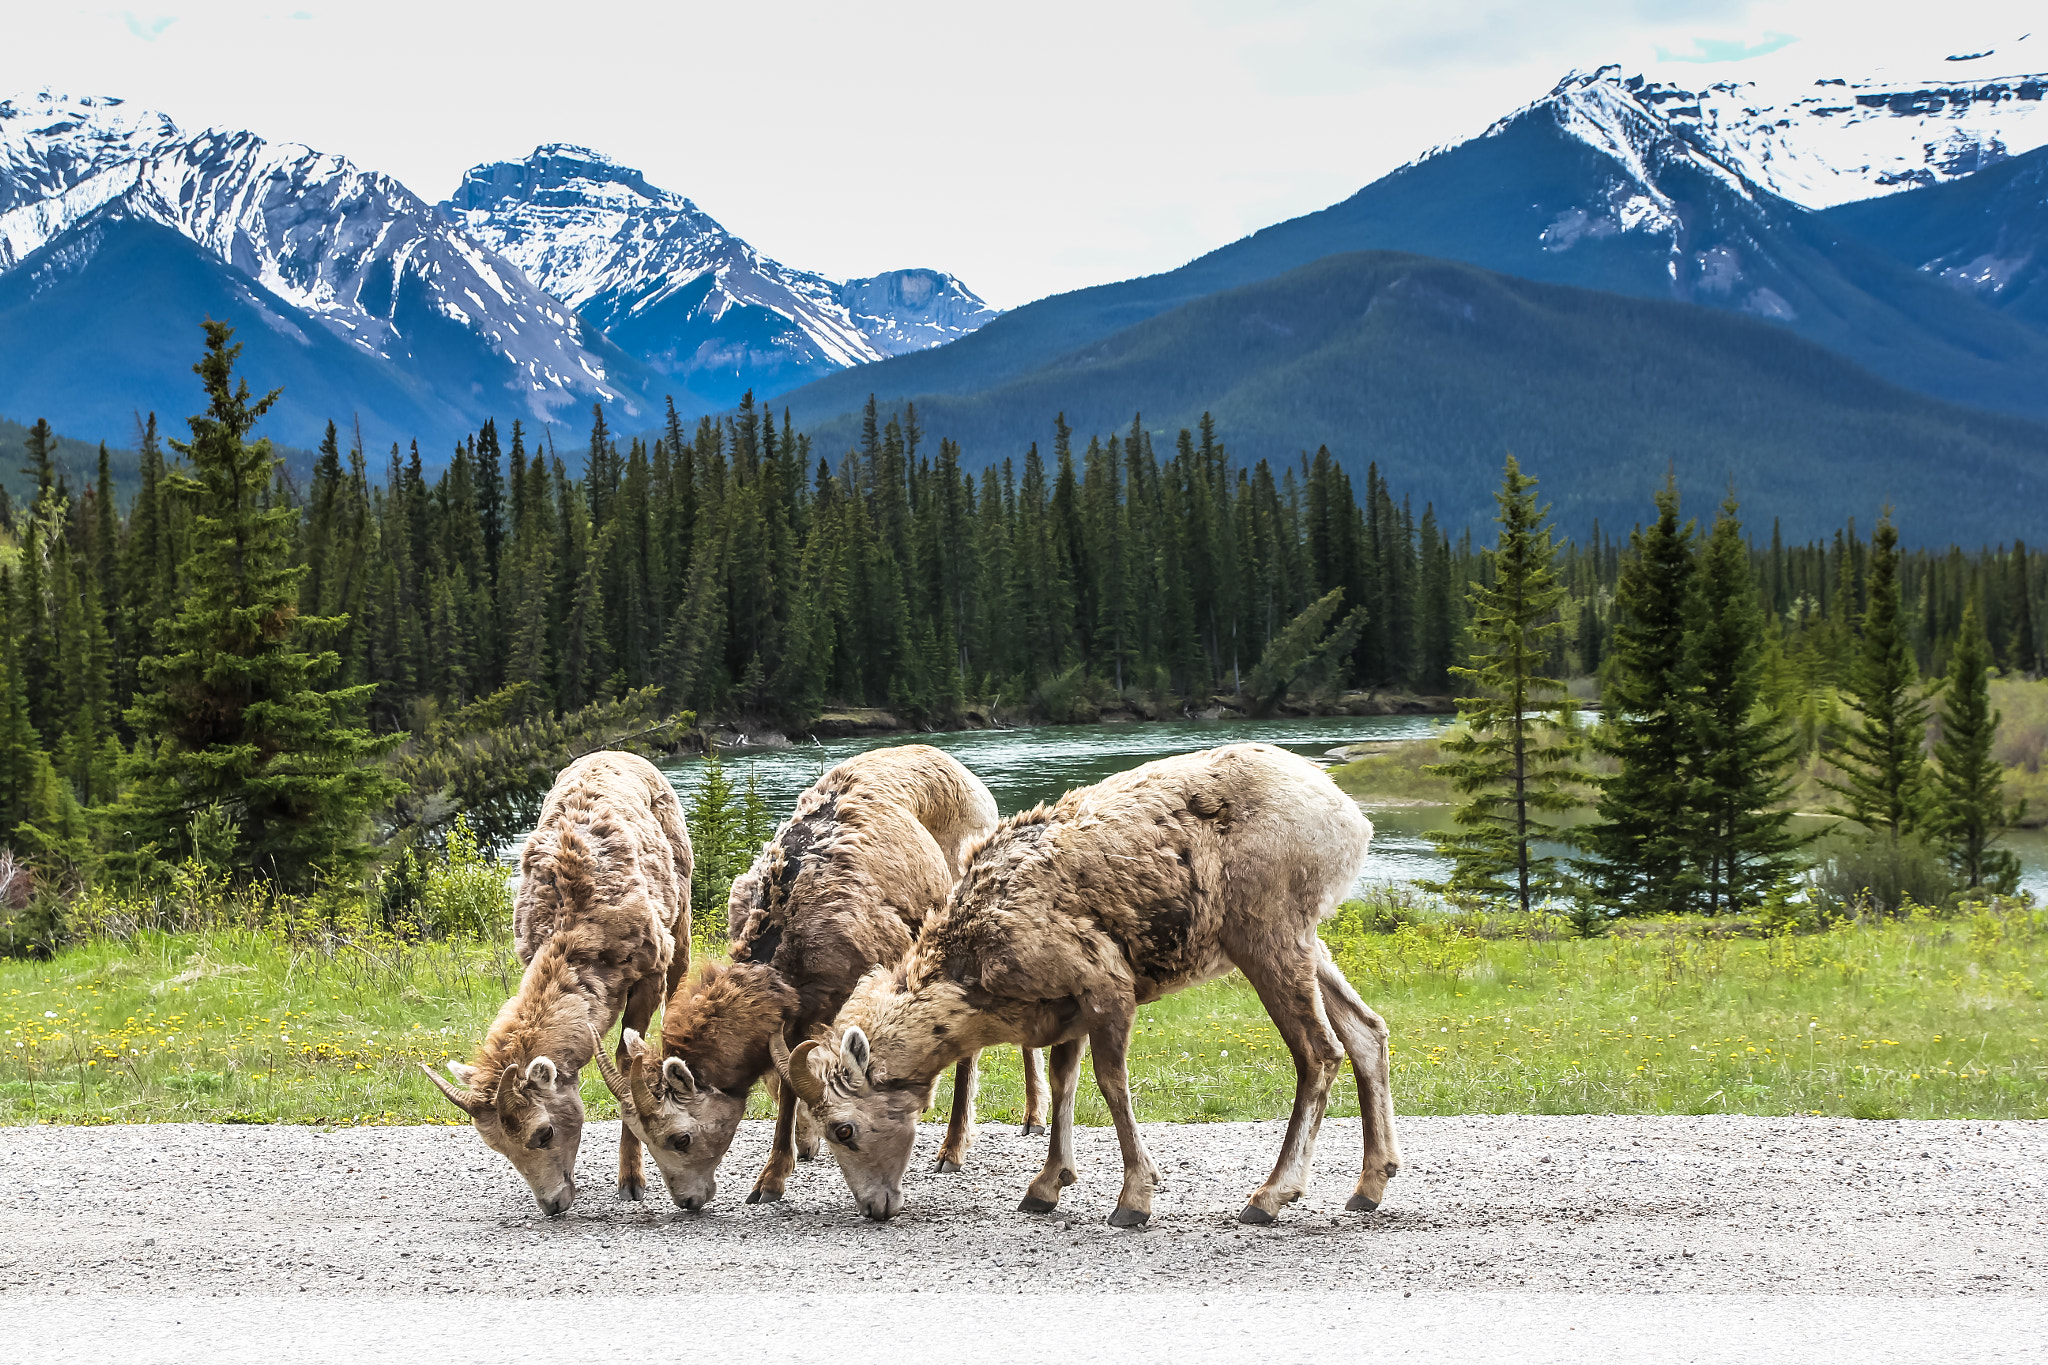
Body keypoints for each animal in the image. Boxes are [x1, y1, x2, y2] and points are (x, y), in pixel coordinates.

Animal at [422, 751, 691, 1214]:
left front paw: (631, 1182)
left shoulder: (650, 973)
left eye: (543, 1132)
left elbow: (625, 1066)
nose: (552, 1205)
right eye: (496, 1146)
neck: (577, 928)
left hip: (683, 916)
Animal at [591, 744, 1044, 1210]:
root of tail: (963, 773)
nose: (687, 1201)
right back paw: (1030, 1118)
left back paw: (952, 1152)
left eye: (679, 1139)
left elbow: (794, 1086)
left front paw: (770, 1183)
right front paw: (802, 1150)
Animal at [777, 742, 1398, 1225]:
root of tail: (1349, 816)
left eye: (844, 1130)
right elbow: (1064, 1084)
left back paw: (1267, 1199)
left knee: (1319, 1053)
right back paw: (1368, 1189)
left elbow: (1110, 1083)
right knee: (1366, 1032)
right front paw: (1044, 1190)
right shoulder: (1066, 1010)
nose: (875, 1208)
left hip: (1268, 938)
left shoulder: (1106, 988)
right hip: (1308, 943)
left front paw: (1133, 1202)